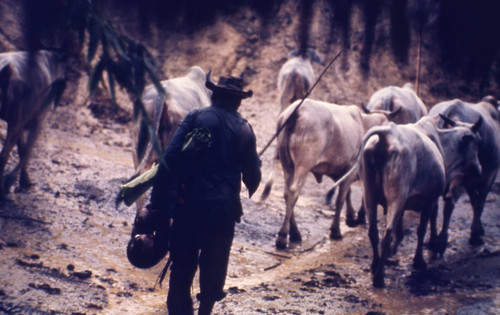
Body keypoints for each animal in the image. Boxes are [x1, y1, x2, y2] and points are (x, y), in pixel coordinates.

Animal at [260, 99, 400, 249]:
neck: (364, 124)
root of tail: (297, 110)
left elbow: (347, 193)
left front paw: (351, 216)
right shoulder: (352, 167)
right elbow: (341, 198)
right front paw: (336, 230)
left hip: (287, 165)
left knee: (286, 193)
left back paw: (295, 233)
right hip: (303, 165)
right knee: (293, 192)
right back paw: (282, 237)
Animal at [332, 115, 484, 288]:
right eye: (478, 143)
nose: (479, 170)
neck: (442, 144)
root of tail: (386, 134)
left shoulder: (405, 204)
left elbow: (402, 230)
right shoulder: (429, 199)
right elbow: (421, 229)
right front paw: (420, 259)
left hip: (370, 195)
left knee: (373, 232)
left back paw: (375, 265)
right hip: (396, 196)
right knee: (387, 233)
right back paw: (379, 278)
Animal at [426, 96, 500, 252]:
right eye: (478, 142)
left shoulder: (471, 180)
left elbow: (474, 200)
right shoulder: (489, 175)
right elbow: (479, 202)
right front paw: (476, 235)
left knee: (434, 205)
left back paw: (433, 240)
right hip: (461, 176)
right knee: (450, 201)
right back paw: (441, 240)